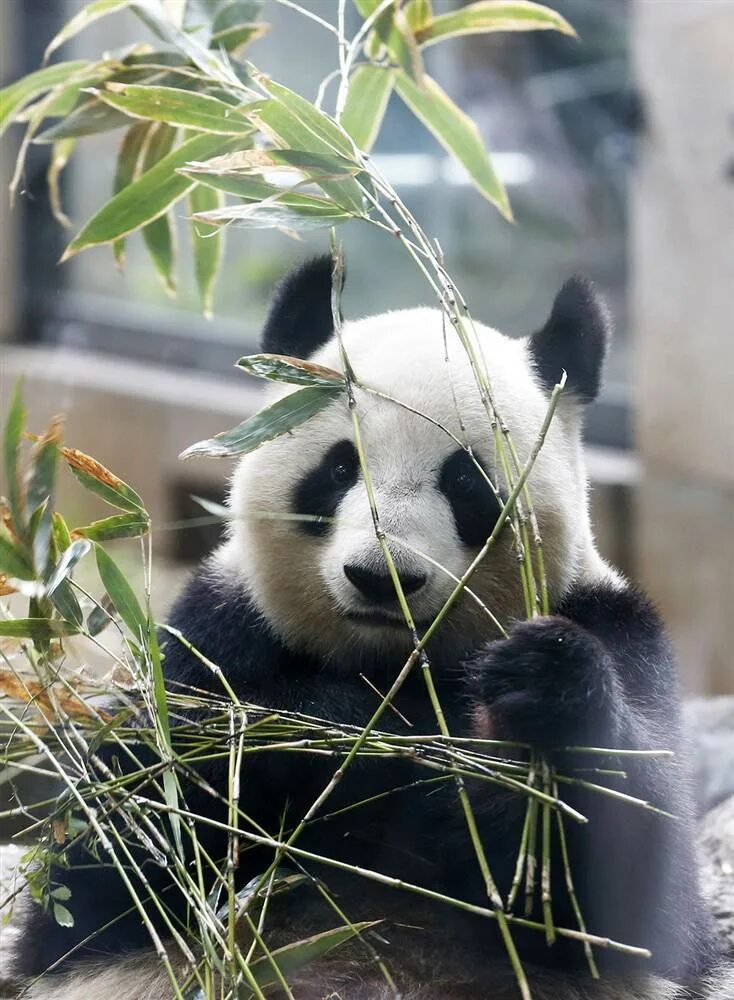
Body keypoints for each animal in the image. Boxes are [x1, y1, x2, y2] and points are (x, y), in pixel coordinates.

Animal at [11, 260, 732, 1000]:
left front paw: (540, 689)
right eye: (338, 467)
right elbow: (129, 838)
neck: (390, 662)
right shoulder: (213, 637)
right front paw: (349, 737)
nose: (382, 578)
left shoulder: (616, 629)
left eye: (466, 483)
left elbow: (628, 886)